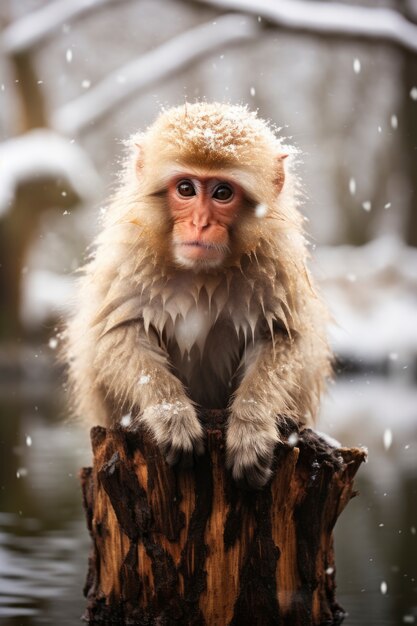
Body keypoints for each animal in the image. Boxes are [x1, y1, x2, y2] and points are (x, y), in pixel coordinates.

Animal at [65, 101, 332, 488]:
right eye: (186, 188)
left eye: (222, 193)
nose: (200, 223)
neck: (200, 275)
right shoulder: (128, 258)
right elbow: (119, 334)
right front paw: (172, 414)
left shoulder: (276, 265)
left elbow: (282, 337)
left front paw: (251, 428)